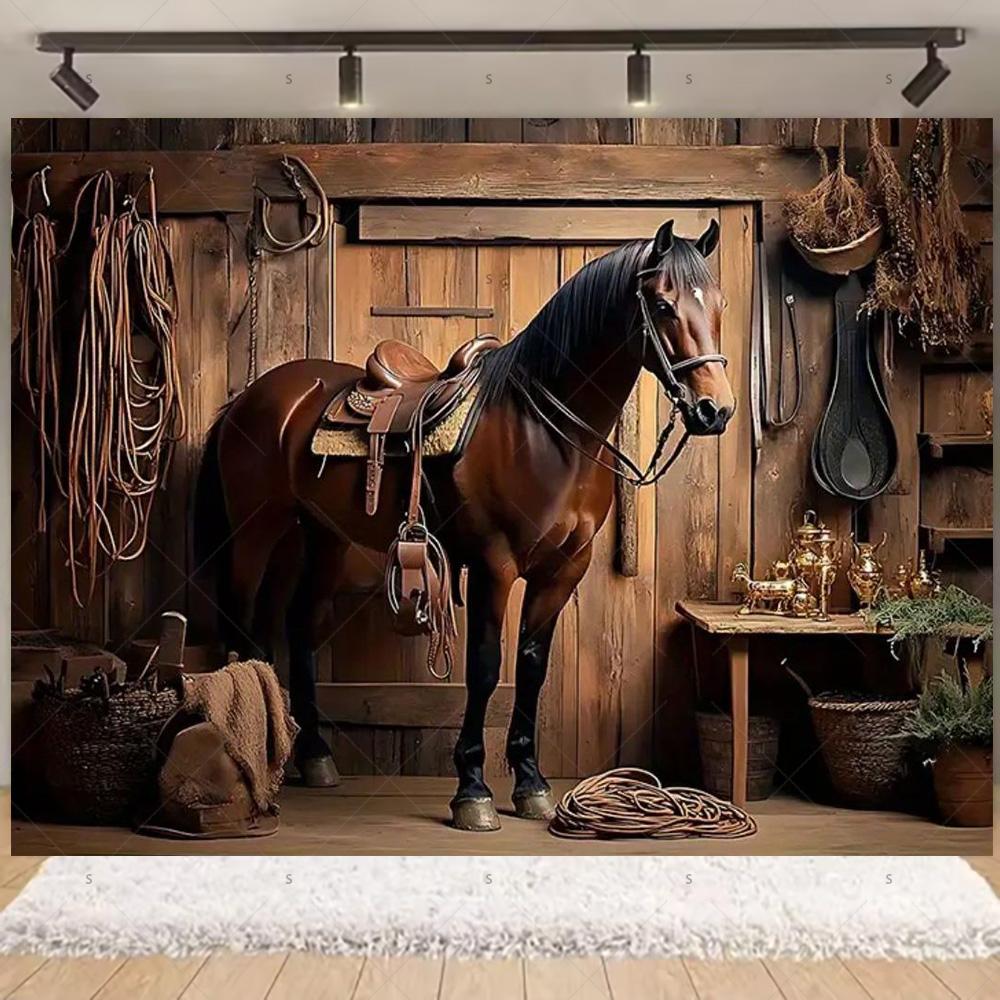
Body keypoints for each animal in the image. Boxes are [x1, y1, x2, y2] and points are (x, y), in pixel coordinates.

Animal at [194, 218, 735, 831]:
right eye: (663, 305)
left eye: (720, 303)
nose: (715, 410)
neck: (548, 433)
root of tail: (251, 398)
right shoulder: (493, 566)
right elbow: (484, 669)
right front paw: (472, 790)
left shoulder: (562, 570)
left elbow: (531, 668)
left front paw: (531, 784)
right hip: (254, 531)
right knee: (240, 626)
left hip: (319, 536)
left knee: (298, 627)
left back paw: (314, 757)